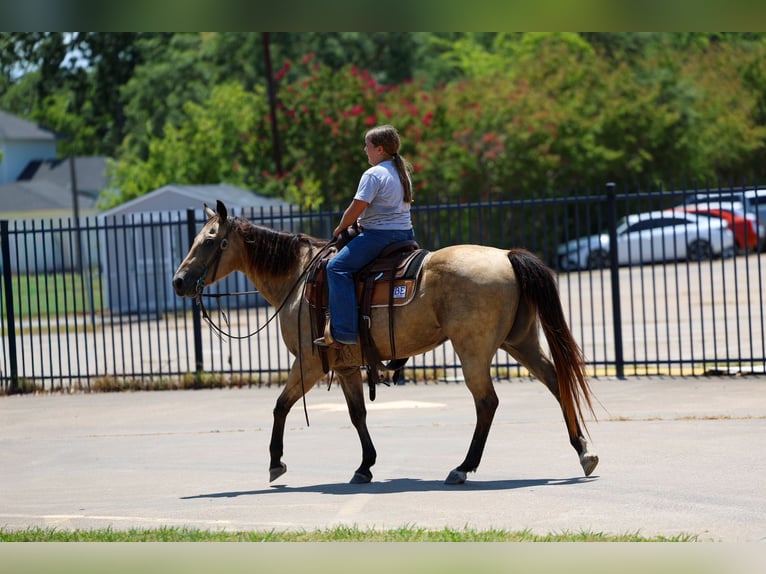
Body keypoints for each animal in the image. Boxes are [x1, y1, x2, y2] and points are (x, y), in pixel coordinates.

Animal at [172, 200, 599, 485]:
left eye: (209, 240)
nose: (178, 281)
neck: (299, 277)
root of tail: (508, 256)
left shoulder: (309, 363)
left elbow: (280, 406)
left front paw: (276, 462)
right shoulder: (344, 365)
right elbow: (357, 414)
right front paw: (365, 466)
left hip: (474, 352)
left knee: (487, 403)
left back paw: (463, 467)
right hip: (520, 343)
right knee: (557, 383)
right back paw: (584, 452)